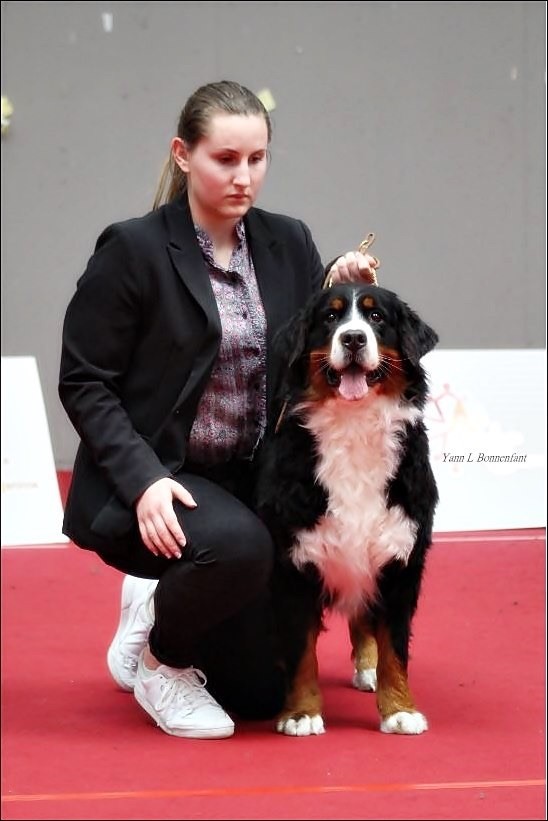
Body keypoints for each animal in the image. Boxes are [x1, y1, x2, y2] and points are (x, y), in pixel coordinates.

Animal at [256, 280, 440, 736]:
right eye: (330, 317)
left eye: (376, 317)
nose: (354, 338)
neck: (354, 426)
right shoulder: (295, 560)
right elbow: (301, 651)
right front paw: (301, 713)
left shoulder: (400, 556)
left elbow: (395, 647)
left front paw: (399, 710)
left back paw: (368, 669)